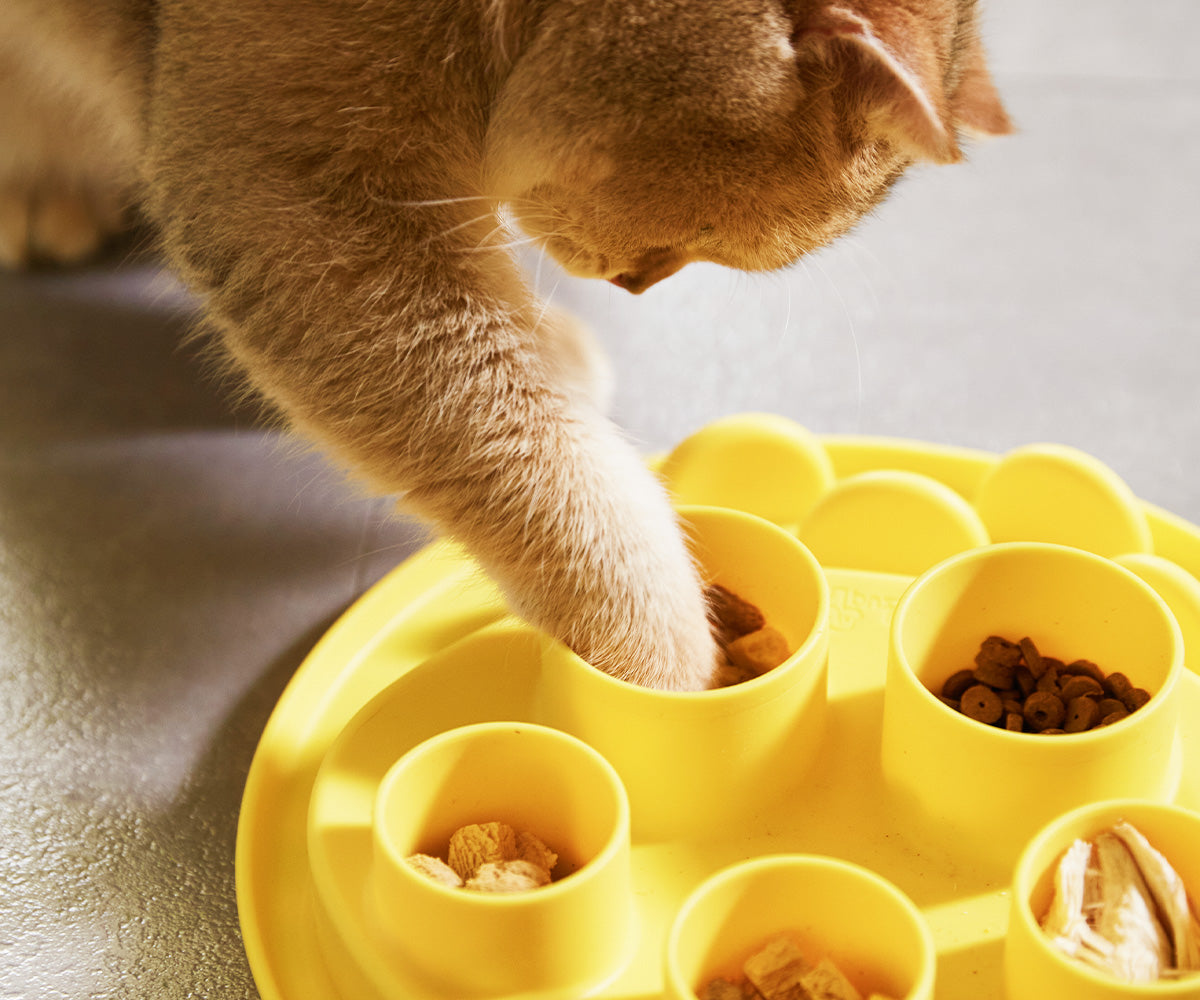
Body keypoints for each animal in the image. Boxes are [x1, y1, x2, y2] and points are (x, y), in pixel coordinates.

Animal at [0, 0, 1012, 686]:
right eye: (702, 236)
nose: (636, 286)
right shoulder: (292, 198)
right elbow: (530, 446)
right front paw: (663, 647)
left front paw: (557, 347)